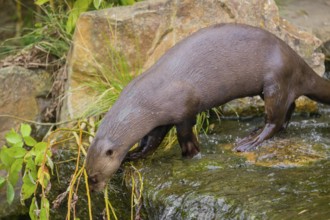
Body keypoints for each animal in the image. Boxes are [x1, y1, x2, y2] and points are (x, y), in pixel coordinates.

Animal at [85, 22, 330, 191]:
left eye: (94, 177)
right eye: (87, 176)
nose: (95, 190)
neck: (144, 102)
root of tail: (298, 60)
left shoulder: (184, 108)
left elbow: (184, 132)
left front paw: (191, 153)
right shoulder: (159, 120)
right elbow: (151, 141)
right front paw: (134, 154)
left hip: (275, 81)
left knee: (275, 119)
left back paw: (250, 141)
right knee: (290, 107)